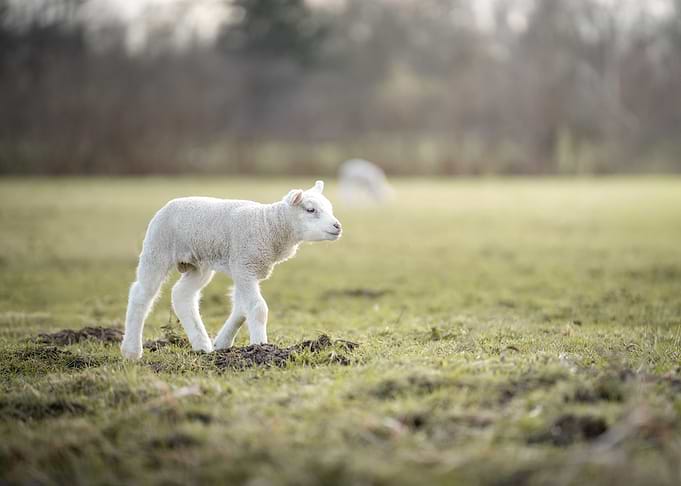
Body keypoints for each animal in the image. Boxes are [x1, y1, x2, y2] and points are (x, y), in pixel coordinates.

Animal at [120, 180, 342, 360]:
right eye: (310, 210)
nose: (337, 226)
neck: (268, 226)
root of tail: (168, 205)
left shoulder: (245, 268)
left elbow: (242, 309)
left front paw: (222, 343)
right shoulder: (244, 266)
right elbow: (258, 308)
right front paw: (261, 347)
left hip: (199, 264)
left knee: (181, 295)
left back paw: (202, 346)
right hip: (157, 249)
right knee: (141, 294)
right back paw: (132, 351)